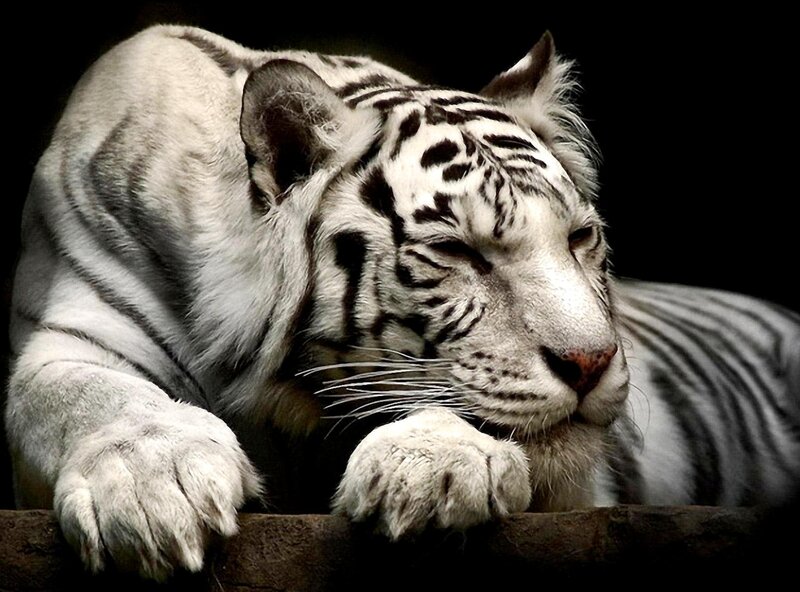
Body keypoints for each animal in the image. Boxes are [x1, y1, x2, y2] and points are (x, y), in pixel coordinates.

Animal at [5, 24, 799, 580]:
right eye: (458, 251)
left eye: (579, 238)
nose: (591, 362)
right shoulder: (72, 331)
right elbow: (84, 396)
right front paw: (152, 489)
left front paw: (432, 469)